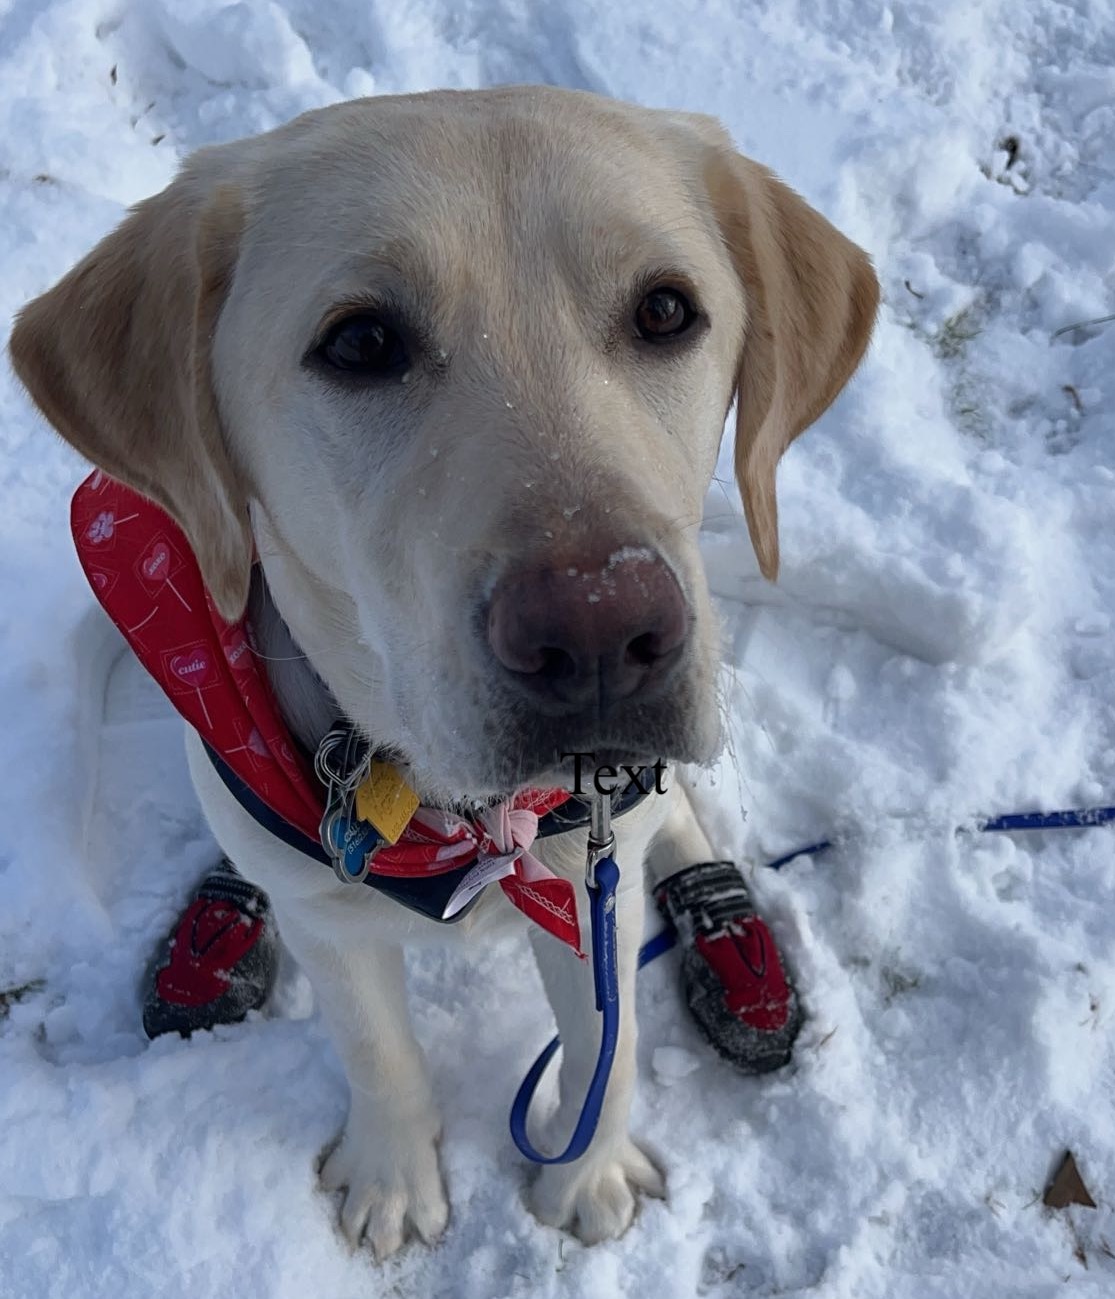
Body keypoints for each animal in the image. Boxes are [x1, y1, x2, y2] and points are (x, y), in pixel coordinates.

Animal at [8, 83, 878, 1257]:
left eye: (664, 311)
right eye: (361, 340)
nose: (600, 630)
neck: (462, 825)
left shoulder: (588, 888)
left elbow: (607, 1048)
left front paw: (583, 1175)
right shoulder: (331, 923)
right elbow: (379, 1052)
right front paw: (393, 1178)